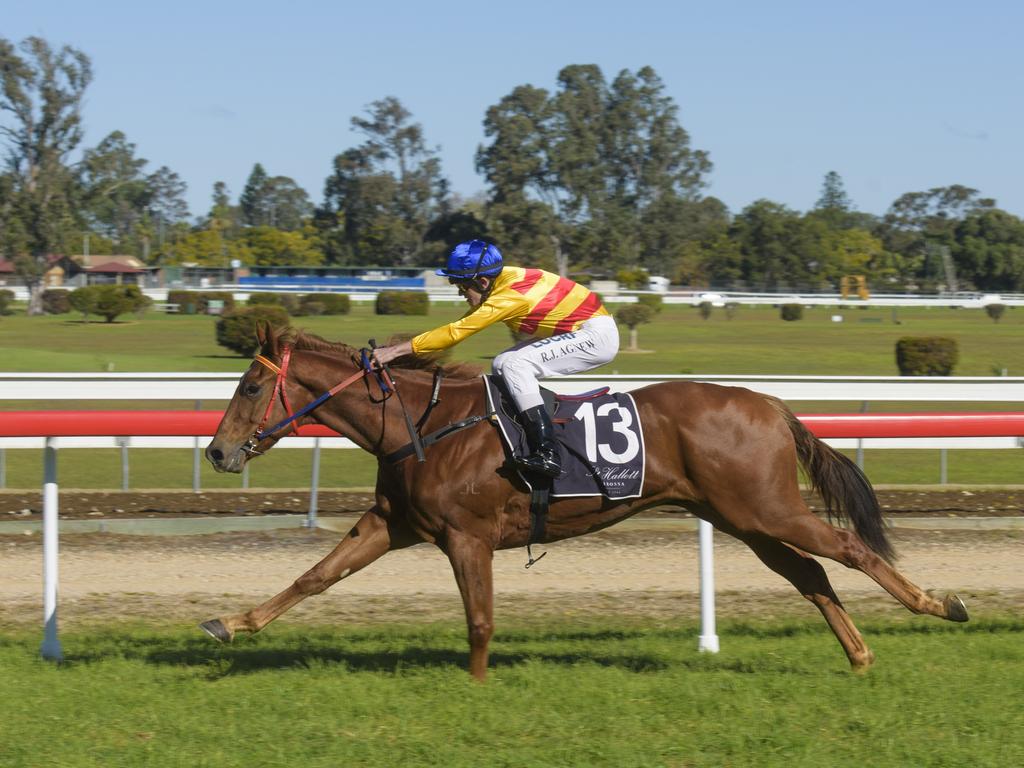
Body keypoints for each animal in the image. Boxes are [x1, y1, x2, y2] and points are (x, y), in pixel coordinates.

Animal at [199, 325, 966, 679]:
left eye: (248, 387)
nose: (217, 453)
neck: (421, 424)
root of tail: (770, 404)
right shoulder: (394, 523)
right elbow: (315, 576)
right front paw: (230, 623)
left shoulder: (467, 536)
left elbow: (480, 619)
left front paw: (475, 685)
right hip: (740, 517)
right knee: (809, 573)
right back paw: (860, 656)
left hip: (765, 508)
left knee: (849, 547)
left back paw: (938, 603)